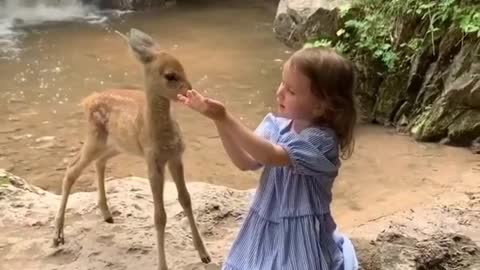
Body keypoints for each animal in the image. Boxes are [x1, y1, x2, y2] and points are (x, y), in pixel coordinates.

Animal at [52, 28, 210, 268]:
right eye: (170, 75)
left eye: (183, 67)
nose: (190, 91)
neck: (162, 135)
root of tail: (88, 100)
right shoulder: (152, 160)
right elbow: (159, 215)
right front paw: (162, 265)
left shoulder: (176, 156)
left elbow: (186, 199)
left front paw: (204, 254)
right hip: (95, 137)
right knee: (72, 169)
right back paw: (58, 236)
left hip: (117, 144)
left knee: (99, 162)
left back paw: (107, 214)